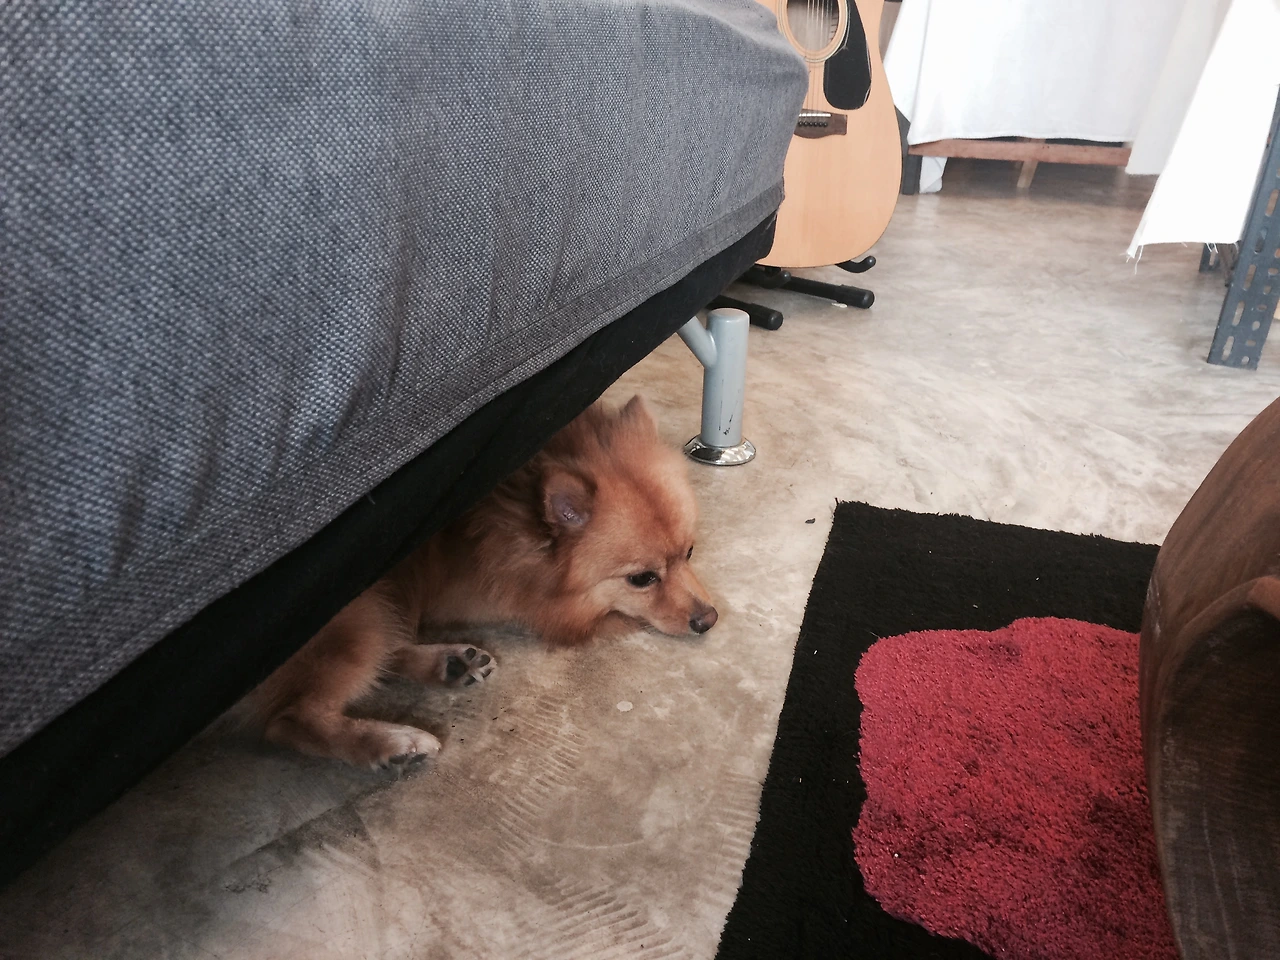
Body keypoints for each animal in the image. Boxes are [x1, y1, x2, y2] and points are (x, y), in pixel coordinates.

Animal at [244, 395, 717, 769]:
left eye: (690, 553)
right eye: (642, 578)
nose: (708, 620)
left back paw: (449, 663)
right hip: (357, 614)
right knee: (286, 720)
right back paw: (391, 743)